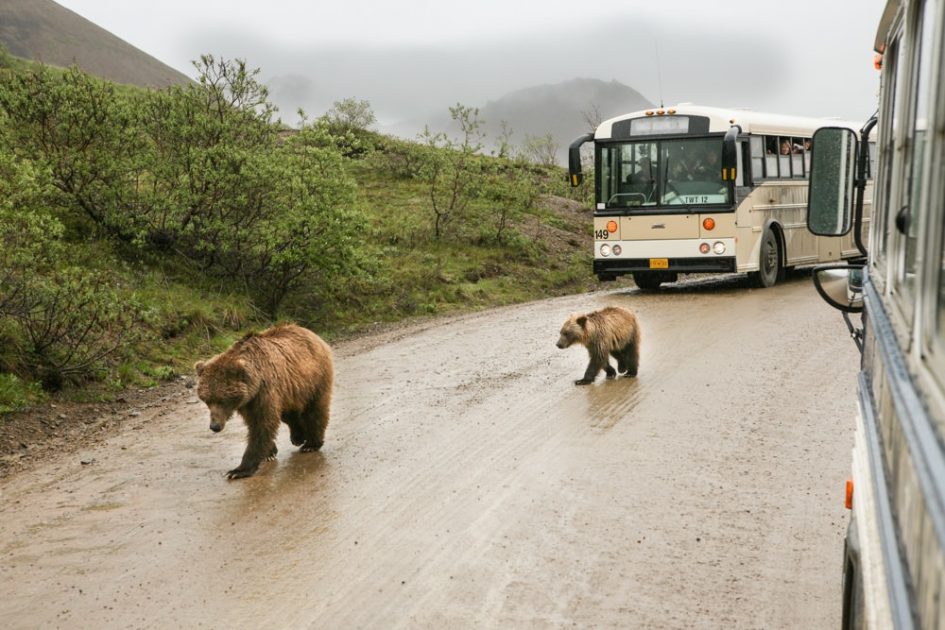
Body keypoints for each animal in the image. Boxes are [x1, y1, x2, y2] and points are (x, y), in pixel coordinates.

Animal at [192, 326, 332, 478]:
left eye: (222, 400)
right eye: (207, 400)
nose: (215, 426)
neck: (255, 382)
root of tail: (311, 333)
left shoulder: (264, 392)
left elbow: (262, 424)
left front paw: (239, 470)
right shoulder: (248, 402)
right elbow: (257, 422)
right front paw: (269, 453)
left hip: (314, 379)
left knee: (315, 409)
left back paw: (311, 444)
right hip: (290, 390)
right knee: (289, 414)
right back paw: (298, 436)